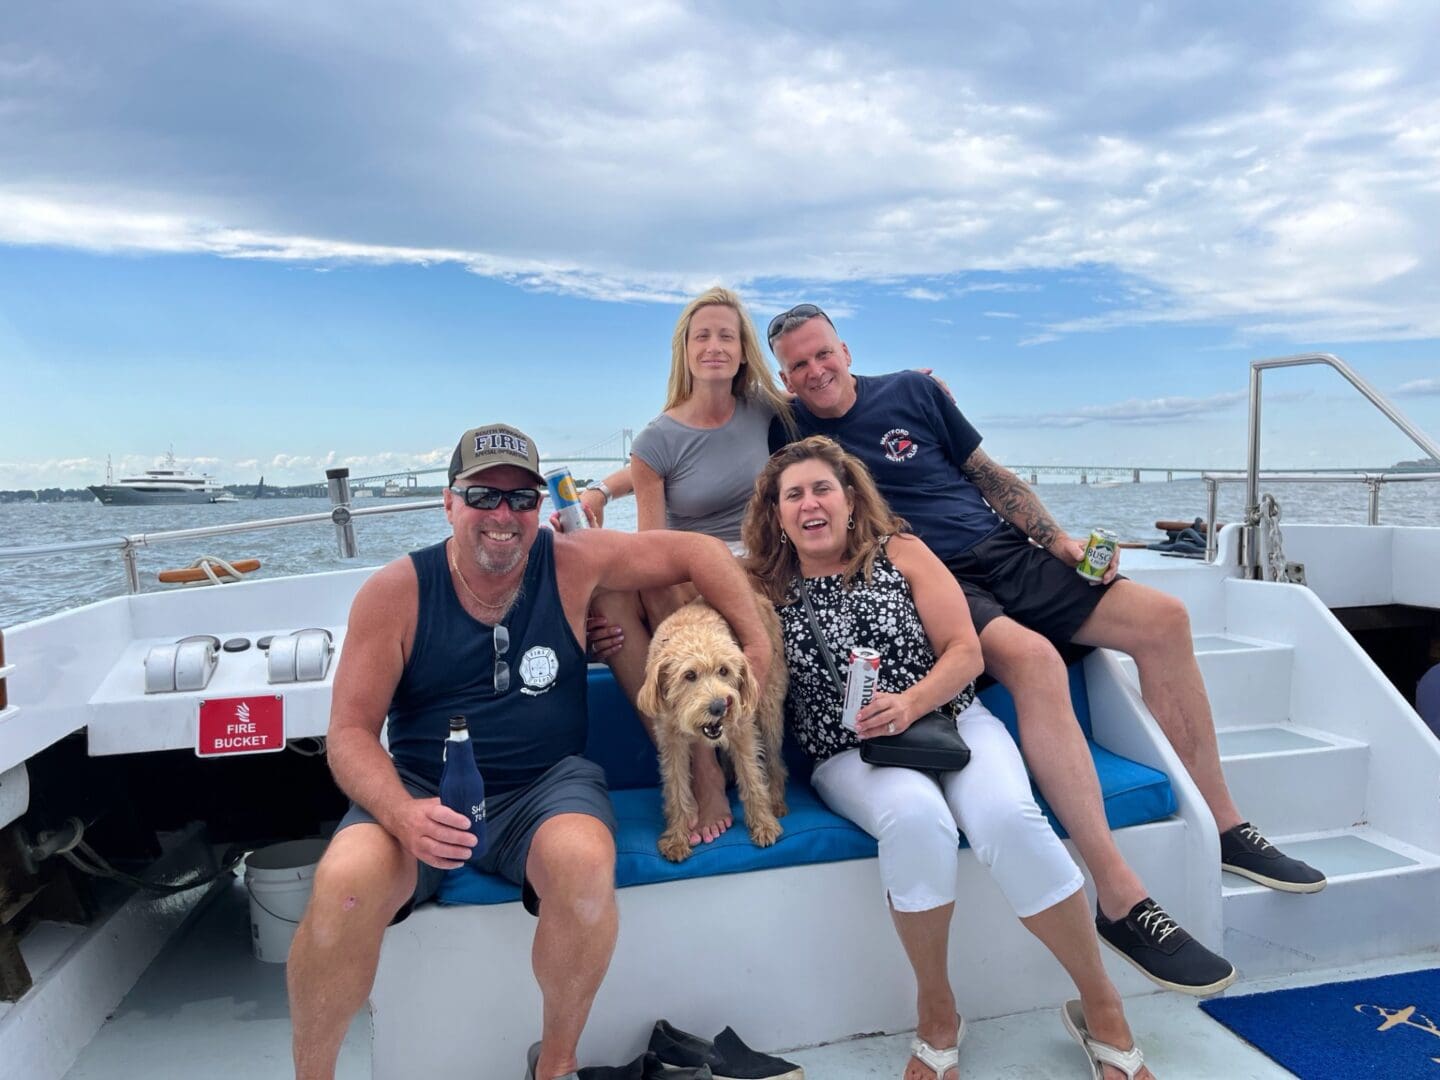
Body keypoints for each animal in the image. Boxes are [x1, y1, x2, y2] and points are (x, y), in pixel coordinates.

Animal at [639, 596, 789, 869]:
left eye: (724, 671)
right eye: (689, 675)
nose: (720, 706)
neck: (693, 630)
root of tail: (759, 597)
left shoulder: (742, 731)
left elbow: (752, 779)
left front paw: (764, 825)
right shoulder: (671, 742)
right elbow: (676, 789)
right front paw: (677, 839)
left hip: (769, 709)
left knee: (774, 762)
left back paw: (776, 800)